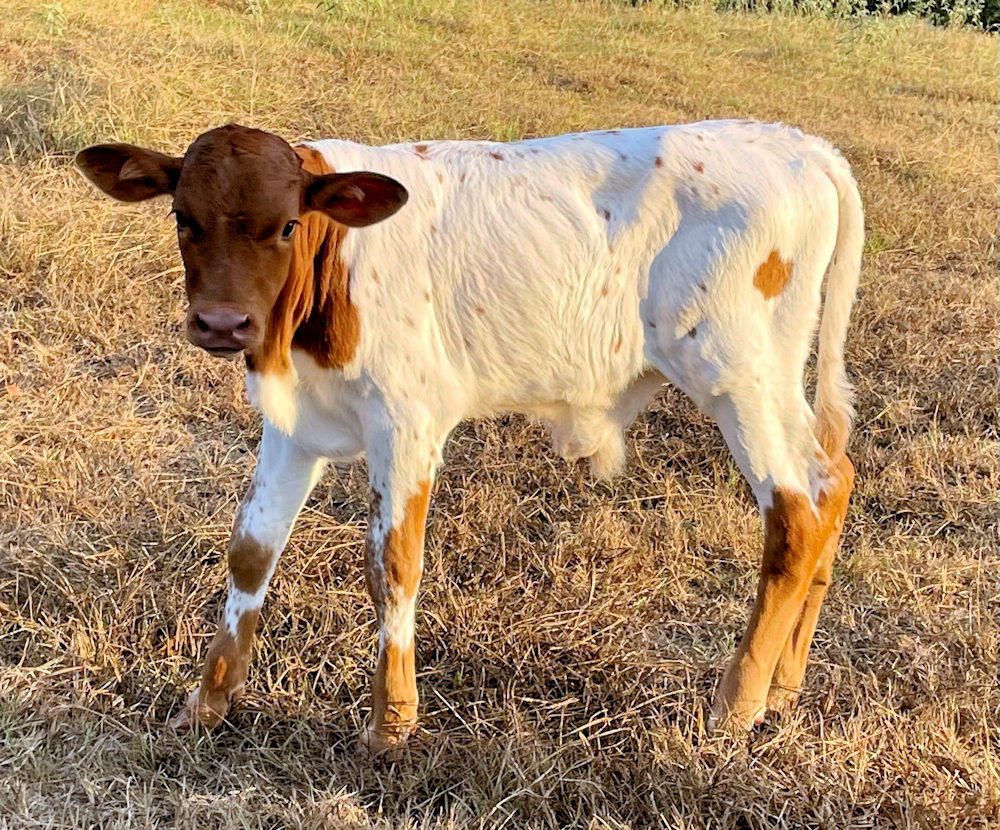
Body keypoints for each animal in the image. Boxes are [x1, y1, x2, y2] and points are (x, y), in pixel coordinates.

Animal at [76, 120, 861, 754]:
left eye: (288, 226)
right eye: (183, 217)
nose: (222, 323)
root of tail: (800, 145)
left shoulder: (407, 421)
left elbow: (392, 564)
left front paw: (391, 724)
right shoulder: (293, 424)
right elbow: (250, 553)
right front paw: (207, 701)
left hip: (739, 377)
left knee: (794, 519)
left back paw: (738, 703)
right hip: (774, 384)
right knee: (832, 483)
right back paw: (785, 683)